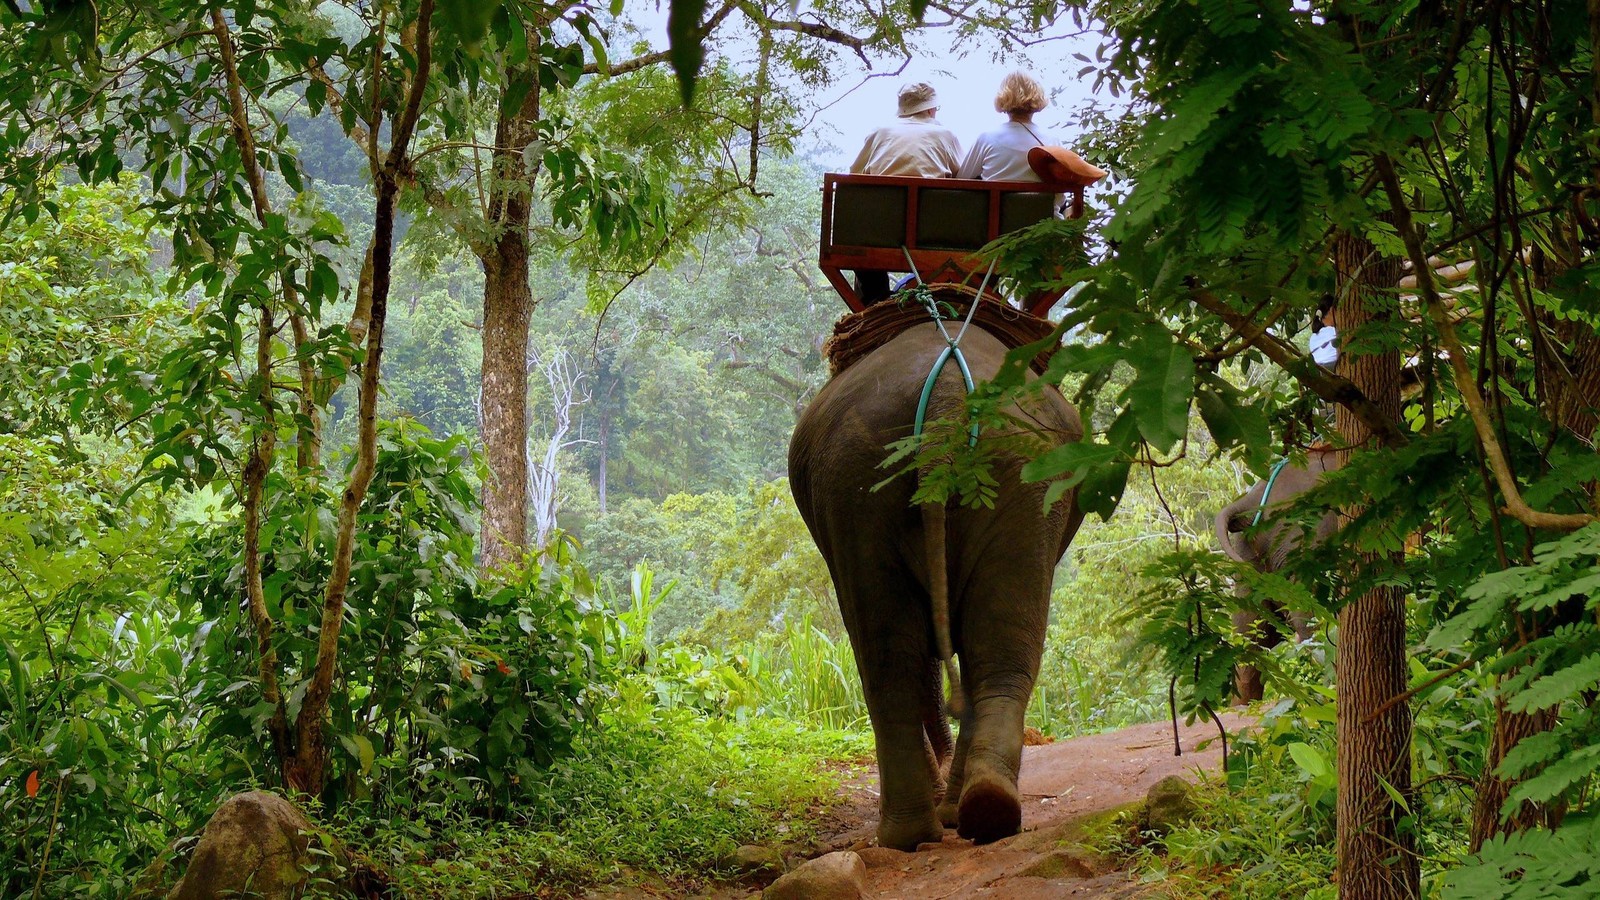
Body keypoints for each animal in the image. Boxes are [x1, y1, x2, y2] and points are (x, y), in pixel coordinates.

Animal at [790, 312, 1088, 845]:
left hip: (869, 478)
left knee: (901, 656)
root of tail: (949, 396)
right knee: (976, 652)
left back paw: (936, 824)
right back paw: (969, 815)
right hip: (1000, 474)